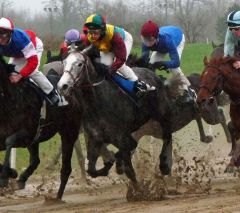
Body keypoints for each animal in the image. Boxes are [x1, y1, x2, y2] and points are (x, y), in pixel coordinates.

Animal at [0, 57, 81, 200]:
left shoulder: (28, 134)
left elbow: (9, 141)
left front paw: (6, 176)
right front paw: (12, 173)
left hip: (69, 132)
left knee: (66, 168)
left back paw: (56, 198)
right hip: (36, 140)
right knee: (35, 160)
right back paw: (22, 180)